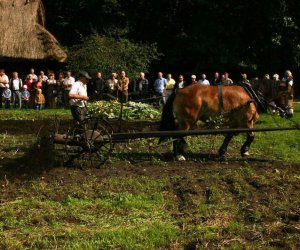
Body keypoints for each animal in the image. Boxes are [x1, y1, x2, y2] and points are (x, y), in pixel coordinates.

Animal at [159, 82, 292, 160]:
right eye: (290, 96)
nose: (290, 114)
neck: (251, 97)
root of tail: (179, 90)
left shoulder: (235, 122)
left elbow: (229, 136)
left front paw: (222, 151)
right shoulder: (247, 122)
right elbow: (251, 136)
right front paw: (244, 151)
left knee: (179, 135)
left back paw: (181, 151)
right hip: (186, 121)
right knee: (176, 135)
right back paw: (178, 155)